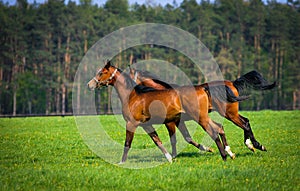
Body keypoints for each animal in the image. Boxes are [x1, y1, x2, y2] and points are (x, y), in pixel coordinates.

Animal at [86, 60, 241, 163]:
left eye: (101, 72)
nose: (89, 84)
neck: (133, 96)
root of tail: (202, 88)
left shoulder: (132, 123)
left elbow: (127, 143)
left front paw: (122, 162)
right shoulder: (147, 124)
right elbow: (158, 141)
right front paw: (169, 158)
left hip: (203, 117)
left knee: (215, 131)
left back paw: (225, 156)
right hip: (204, 117)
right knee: (219, 128)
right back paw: (229, 153)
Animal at [129, 67, 276, 152]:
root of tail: (232, 83)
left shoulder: (170, 122)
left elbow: (176, 138)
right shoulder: (177, 121)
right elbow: (186, 137)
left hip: (230, 114)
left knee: (244, 124)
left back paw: (254, 145)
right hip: (231, 113)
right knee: (246, 121)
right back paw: (252, 145)